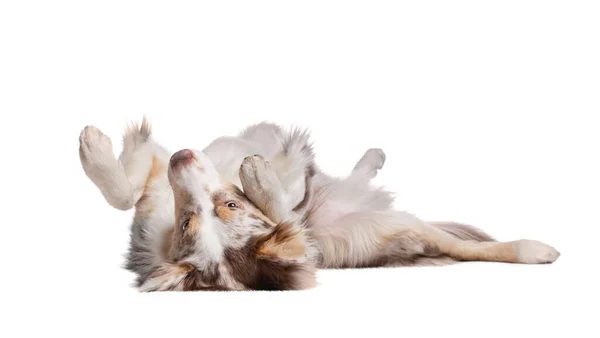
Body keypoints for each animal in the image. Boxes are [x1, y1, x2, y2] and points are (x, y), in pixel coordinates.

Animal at [78, 118, 556, 290]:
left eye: (229, 205)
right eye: (187, 223)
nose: (184, 160)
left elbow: (285, 205)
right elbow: (122, 194)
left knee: (472, 247)